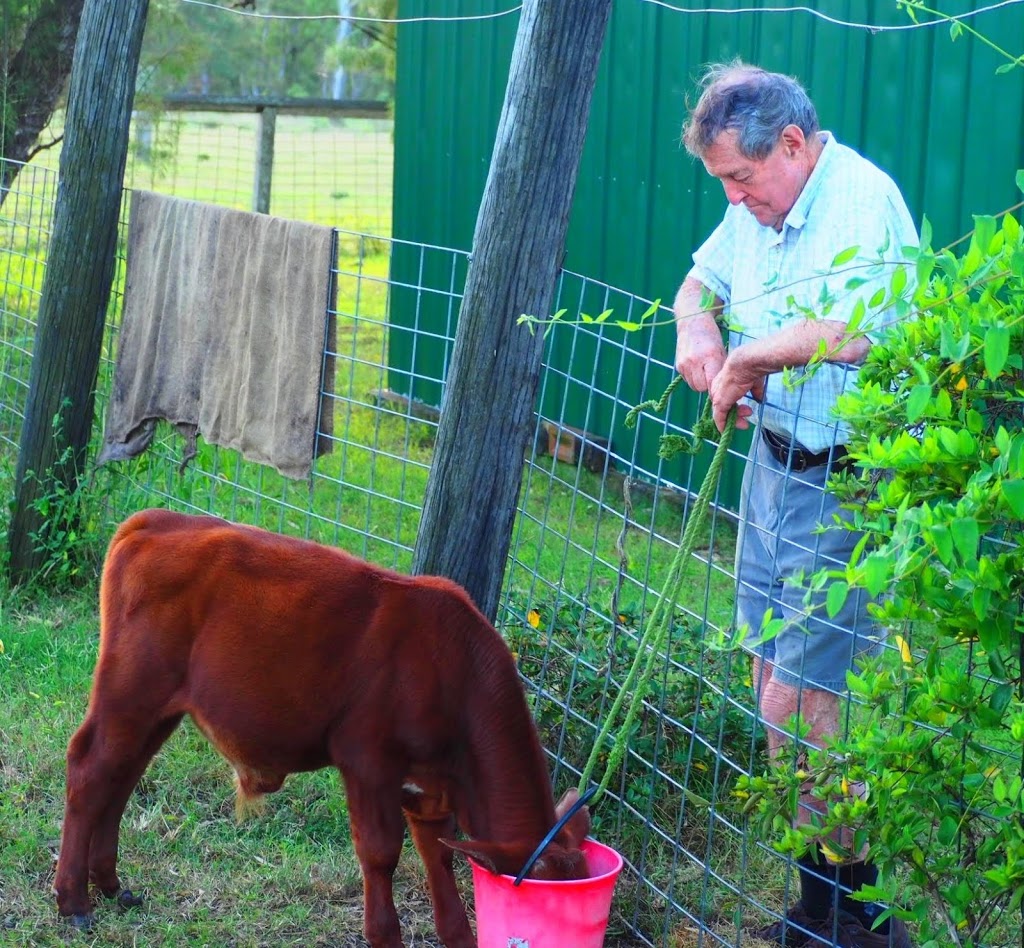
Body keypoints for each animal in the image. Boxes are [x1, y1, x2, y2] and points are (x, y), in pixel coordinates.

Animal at [51, 511, 589, 948]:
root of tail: (155, 521)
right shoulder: (367, 759)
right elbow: (380, 852)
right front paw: (384, 934)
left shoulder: (430, 789)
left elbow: (439, 861)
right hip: (130, 689)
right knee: (90, 769)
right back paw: (73, 900)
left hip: (158, 707)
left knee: (122, 776)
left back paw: (110, 885)